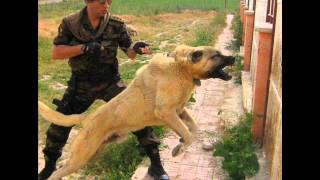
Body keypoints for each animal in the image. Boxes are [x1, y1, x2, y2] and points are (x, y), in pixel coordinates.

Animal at [38, 44, 235, 179]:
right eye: (216, 56)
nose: (233, 57)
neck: (181, 68)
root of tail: (86, 118)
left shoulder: (180, 112)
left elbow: (194, 130)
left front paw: (180, 144)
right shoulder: (167, 113)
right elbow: (188, 134)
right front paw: (179, 148)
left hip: (96, 151)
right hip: (81, 157)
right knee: (56, 173)